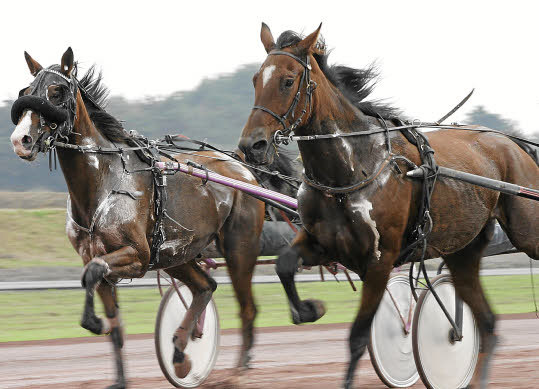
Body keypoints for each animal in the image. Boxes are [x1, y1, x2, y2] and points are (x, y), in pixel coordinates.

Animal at [9, 48, 266, 388]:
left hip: (240, 249)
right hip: (177, 254)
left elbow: (93, 272)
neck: (103, 181)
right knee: (205, 287)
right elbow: (113, 321)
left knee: (247, 308)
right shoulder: (101, 256)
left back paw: (238, 371)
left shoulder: (138, 255)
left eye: (56, 91)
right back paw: (180, 353)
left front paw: (94, 322)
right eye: (26, 92)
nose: (20, 139)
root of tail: (241, 168)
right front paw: (118, 375)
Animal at [242, 23, 539, 388]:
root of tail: (512, 141)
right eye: (256, 79)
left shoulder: (380, 259)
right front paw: (309, 309)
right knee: (488, 323)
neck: (351, 169)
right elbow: (284, 264)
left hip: (527, 229)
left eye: (287, 80)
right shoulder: (323, 245)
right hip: (463, 252)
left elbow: (357, 338)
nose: (251, 145)